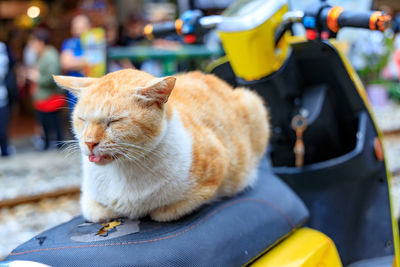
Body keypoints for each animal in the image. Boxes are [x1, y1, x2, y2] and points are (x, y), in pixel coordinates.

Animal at [53, 69, 270, 224]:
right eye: (82, 120)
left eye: (114, 122)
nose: (89, 142)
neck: (123, 171)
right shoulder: (89, 199)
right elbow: (95, 211)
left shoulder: (217, 169)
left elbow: (166, 212)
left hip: (253, 103)